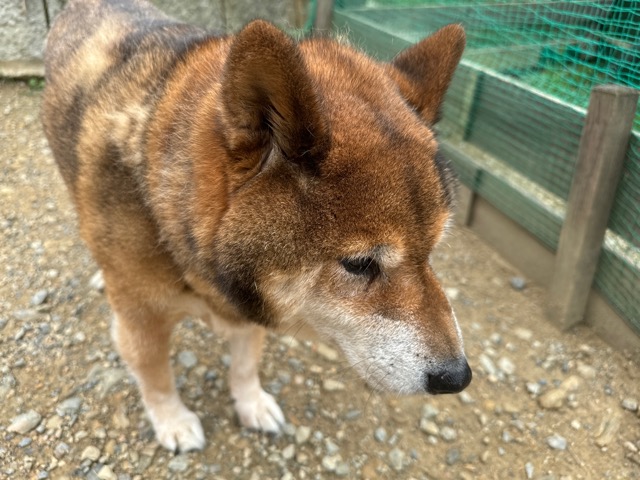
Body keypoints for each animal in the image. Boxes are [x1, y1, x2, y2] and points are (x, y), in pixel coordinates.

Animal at [42, 0, 471, 452]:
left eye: (431, 251)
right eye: (359, 264)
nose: (457, 377)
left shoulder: (251, 303)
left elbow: (246, 364)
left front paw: (252, 403)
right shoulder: (143, 321)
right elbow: (156, 378)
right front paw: (172, 420)